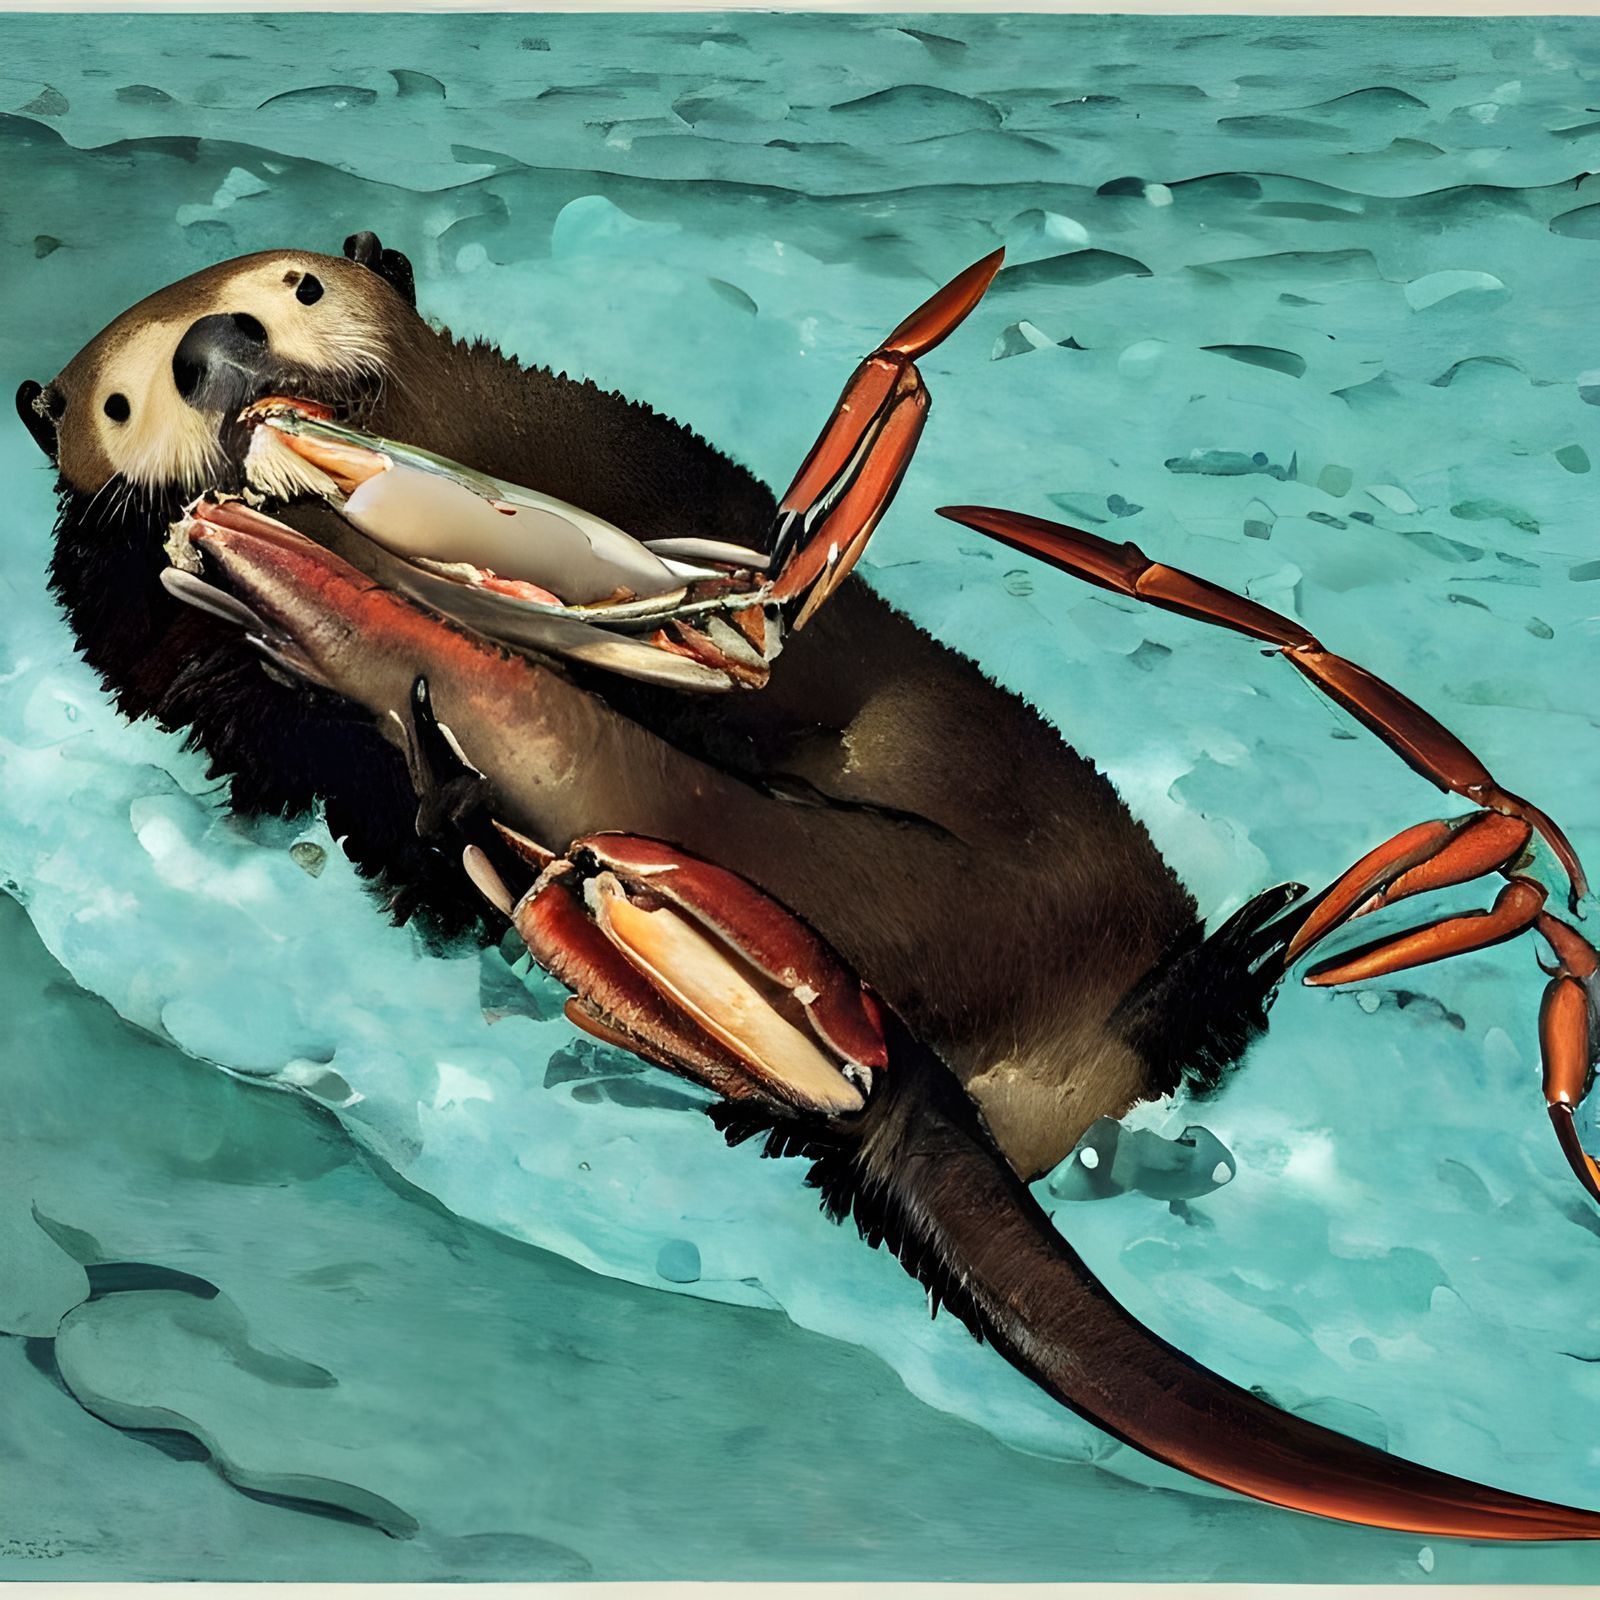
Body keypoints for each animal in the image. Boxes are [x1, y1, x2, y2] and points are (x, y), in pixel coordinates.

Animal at [17, 233, 1600, 1540]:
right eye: (122, 398)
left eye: (295, 287)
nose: (219, 355)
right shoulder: (170, 651)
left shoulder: (616, 466)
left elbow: (755, 595)